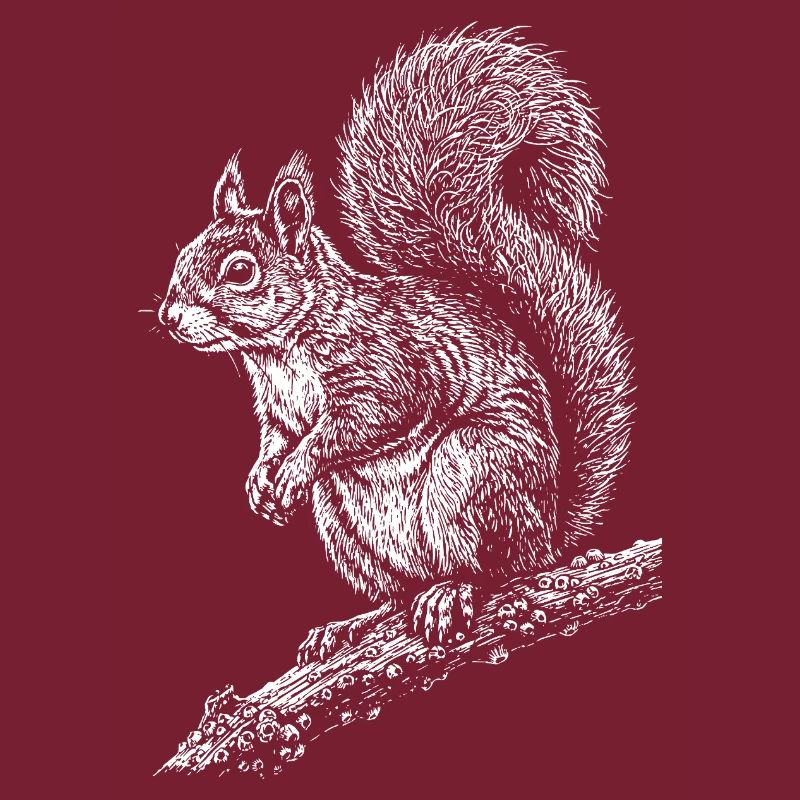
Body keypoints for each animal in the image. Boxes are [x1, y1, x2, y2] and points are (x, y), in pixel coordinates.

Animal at [158, 28, 634, 664]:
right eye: (185, 252)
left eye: (240, 270)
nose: (169, 317)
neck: (280, 351)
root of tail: (549, 536)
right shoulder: (278, 408)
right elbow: (277, 435)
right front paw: (260, 477)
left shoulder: (388, 366)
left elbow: (370, 418)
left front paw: (296, 465)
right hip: (344, 524)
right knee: (397, 589)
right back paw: (354, 624)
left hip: (472, 473)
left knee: (493, 570)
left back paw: (451, 591)